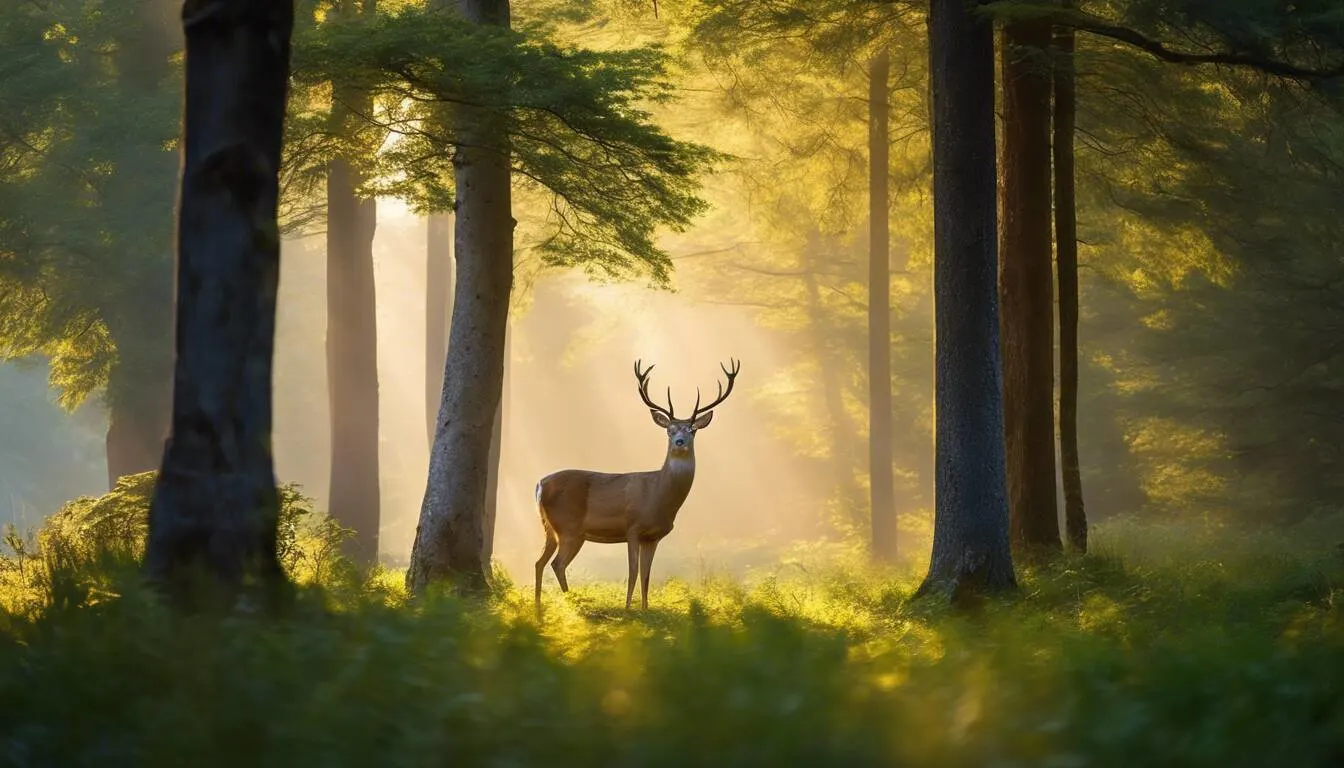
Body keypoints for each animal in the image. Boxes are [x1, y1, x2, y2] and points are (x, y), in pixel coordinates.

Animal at [533, 358, 741, 614]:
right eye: (669, 430)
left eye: (692, 430)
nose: (679, 441)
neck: (659, 497)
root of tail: (540, 484)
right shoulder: (632, 527)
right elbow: (632, 572)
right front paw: (628, 609)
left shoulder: (653, 536)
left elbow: (646, 575)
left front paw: (645, 609)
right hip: (569, 526)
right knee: (557, 564)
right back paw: (573, 605)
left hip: (550, 527)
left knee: (539, 562)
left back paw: (539, 606)